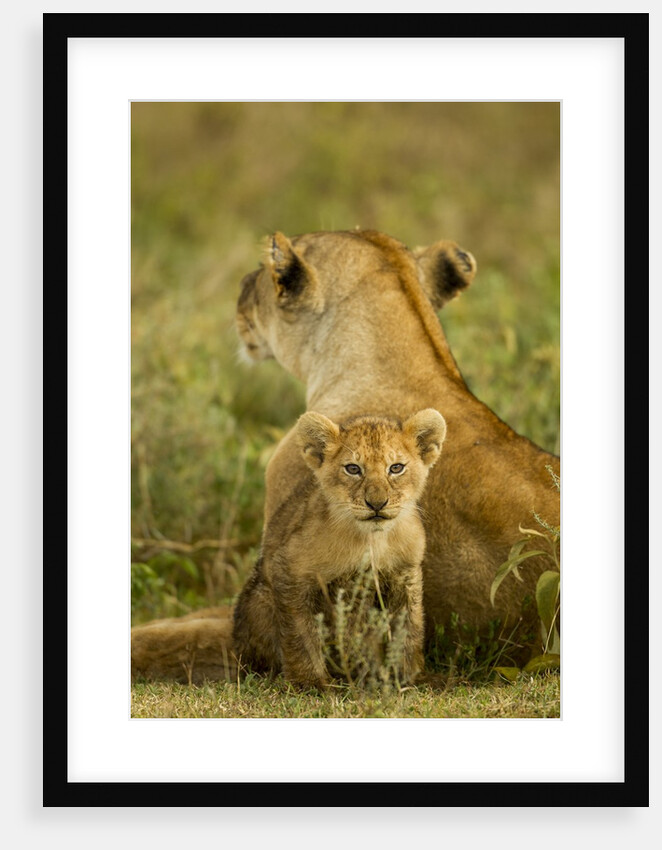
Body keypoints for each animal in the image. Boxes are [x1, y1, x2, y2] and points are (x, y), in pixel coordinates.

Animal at [232, 409, 446, 688]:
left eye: (396, 468)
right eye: (353, 469)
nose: (376, 504)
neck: (371, 541)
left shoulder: (406, 574)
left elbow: (409, 627)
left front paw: (412, 676)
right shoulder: (289, 570)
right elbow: (300, 633)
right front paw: (310, 682)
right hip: (261, 598)